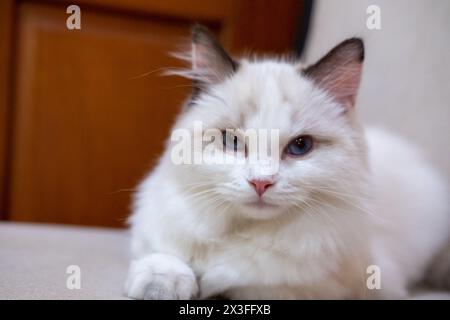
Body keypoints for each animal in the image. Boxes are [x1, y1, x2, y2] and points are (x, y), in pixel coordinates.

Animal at [124, 25, 450, 300]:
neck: (240, 231)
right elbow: (166, 258)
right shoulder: (157, 230)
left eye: (300, 146)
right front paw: (160, 286)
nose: (261, 183)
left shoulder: (329, 286)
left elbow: (242, 281)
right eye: (232, 141)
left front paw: (211, 285)